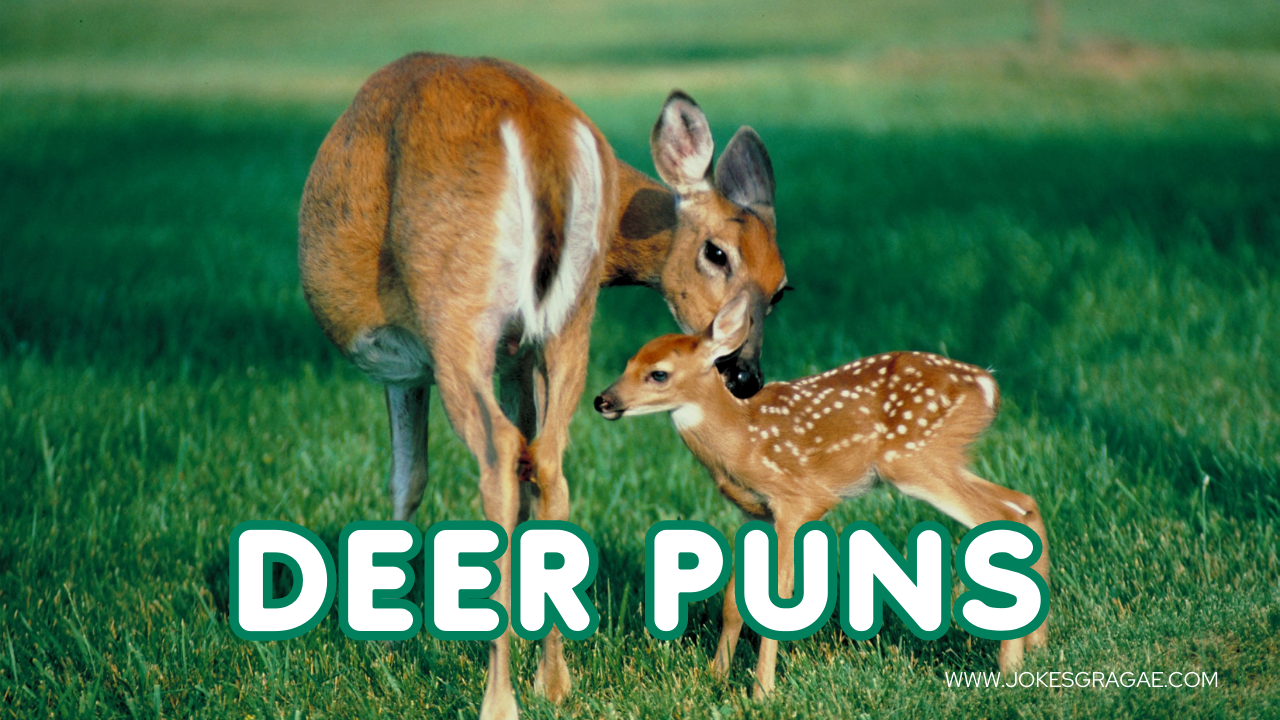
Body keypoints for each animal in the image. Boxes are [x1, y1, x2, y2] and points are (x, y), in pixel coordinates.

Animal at [297, 54, 788, 719]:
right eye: (718, 254)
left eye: (780, 288)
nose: (745, 374)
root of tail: (539, 134)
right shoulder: (520, 356)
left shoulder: (409, 364)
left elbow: (407, 480)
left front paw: (386, 639)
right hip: (568, 320)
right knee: (549, 464)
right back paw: (553, 681)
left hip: (457, 308)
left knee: (501, 458)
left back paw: (500, 696)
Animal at [593, 294, 1050, 696]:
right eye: (628, 362)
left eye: (659, 374)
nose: (603, 400)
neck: (741, 438)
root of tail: (988, 385)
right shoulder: (755, 512)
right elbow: (733, 601)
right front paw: (715, 678)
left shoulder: (799, 498)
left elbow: (775, 600)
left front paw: (761, 693)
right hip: (942, 458)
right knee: (1025, 503)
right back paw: (1037, 649)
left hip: (914, 458)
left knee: (1005, 515)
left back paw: (1008, 667)